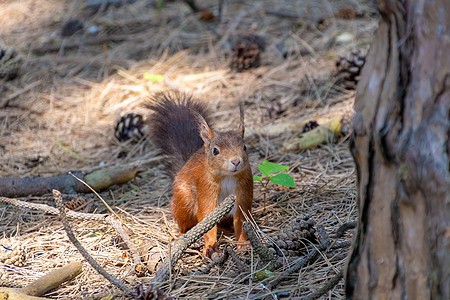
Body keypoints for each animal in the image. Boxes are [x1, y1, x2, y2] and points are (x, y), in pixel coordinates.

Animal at [147, 91, 253, 255]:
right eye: (215, 150)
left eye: (245, 147)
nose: (235, 161)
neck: (227, 177)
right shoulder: (206, 187)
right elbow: (206, 215)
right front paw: (210, 246)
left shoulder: (244, 188)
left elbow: (241, 218)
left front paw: (243, 243)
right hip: (184, 200)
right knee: (186, 224)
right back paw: (183, 235)